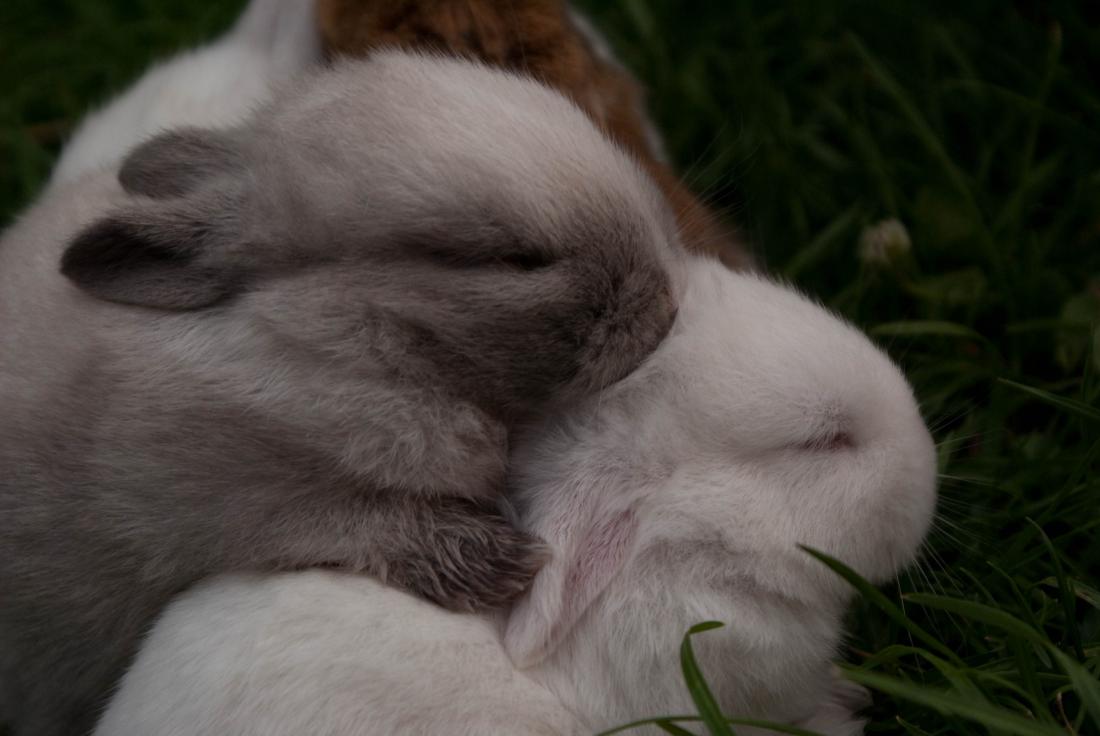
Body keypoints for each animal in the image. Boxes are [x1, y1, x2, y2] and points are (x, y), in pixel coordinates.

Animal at [0, 50, 682, 736]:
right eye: (512, 259)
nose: (666, 313)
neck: (326, 337)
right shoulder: (222, 504)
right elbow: (354, 521)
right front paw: (504, 566)